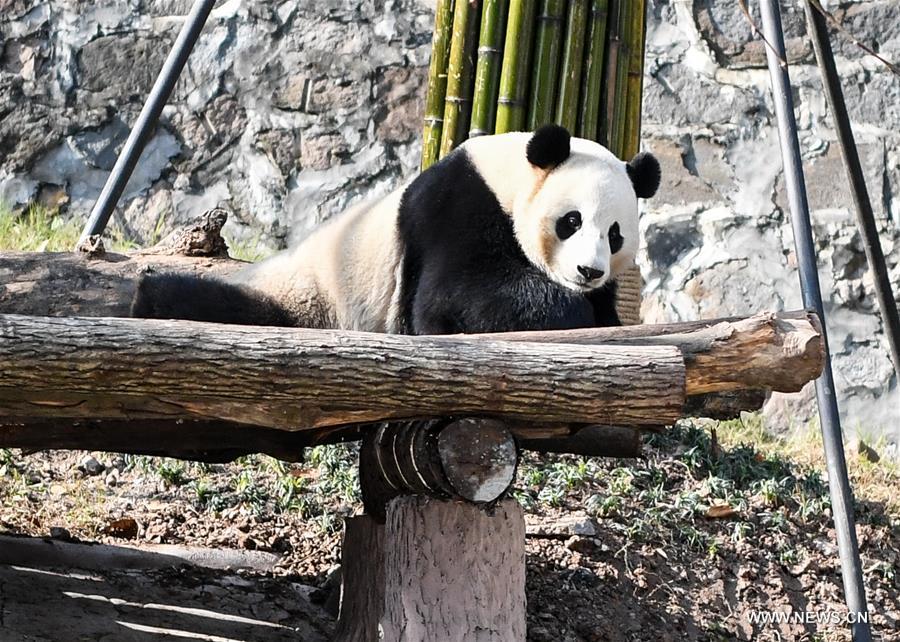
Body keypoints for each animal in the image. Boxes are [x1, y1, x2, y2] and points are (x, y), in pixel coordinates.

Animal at [132, 124, 660, 335]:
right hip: (311, 297)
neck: (510, 177)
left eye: (615, 234)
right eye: (572, 220)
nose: (589, 272)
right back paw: (146, 298)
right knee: (209, 302)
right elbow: (455, 299)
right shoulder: (459, 209)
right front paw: (567, 311)